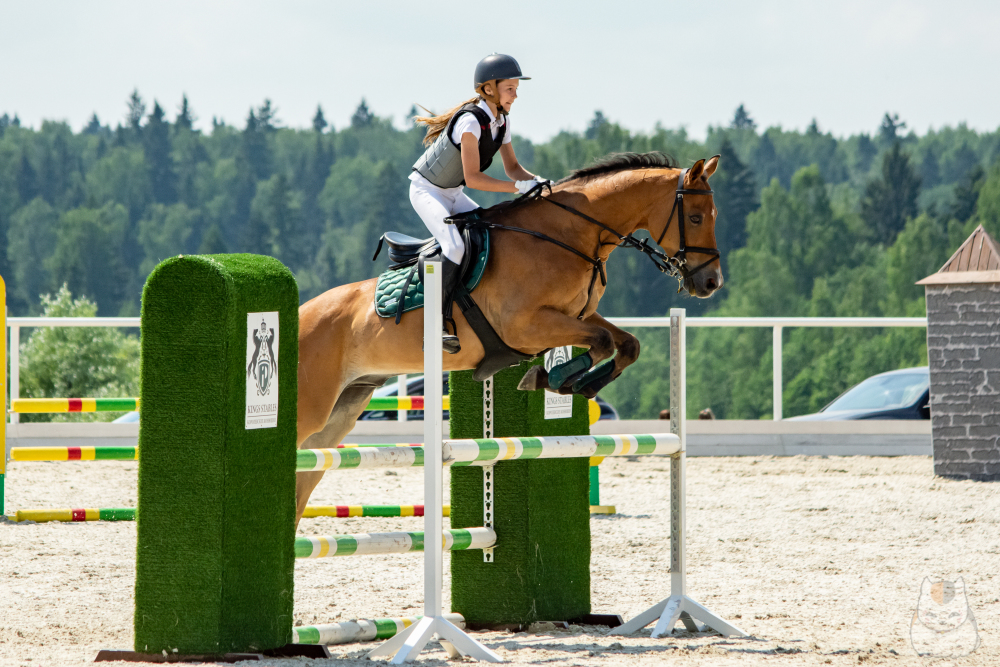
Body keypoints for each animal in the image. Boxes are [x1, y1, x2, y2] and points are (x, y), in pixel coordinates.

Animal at [292, 154, 724, 524]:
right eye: (695, 217)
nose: (710, 283)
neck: (567, 235)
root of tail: (301, 313)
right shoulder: (526, 326)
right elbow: (601, 342)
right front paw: (552, 378)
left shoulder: (576, 316)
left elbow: (626, 344)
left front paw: (577, 384)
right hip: (312, 407)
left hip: (342, 410)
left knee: (303, 479)